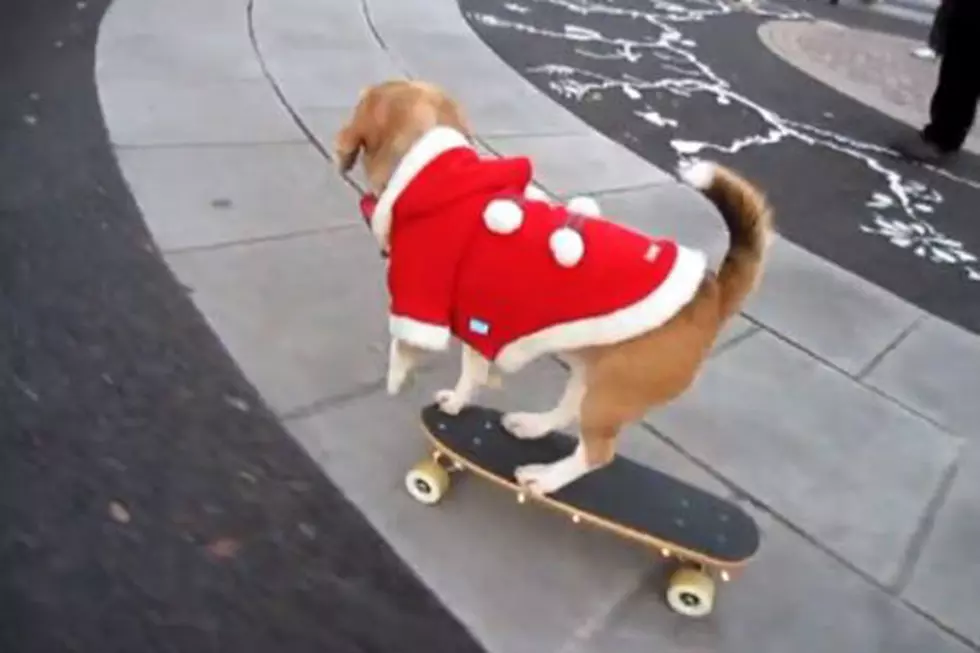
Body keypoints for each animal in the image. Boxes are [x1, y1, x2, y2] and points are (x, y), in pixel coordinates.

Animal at [336, 77, 772, 494]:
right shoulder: (480, 325)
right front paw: (459, 402)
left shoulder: (423, 301)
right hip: (590, 370)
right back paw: (532, 427)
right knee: (567, 411)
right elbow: (473, 374)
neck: (436, 171)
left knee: (596, 454)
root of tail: (712, 292)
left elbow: (411, 349)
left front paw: (403, 380)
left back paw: (544, 479)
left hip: (609, 395)